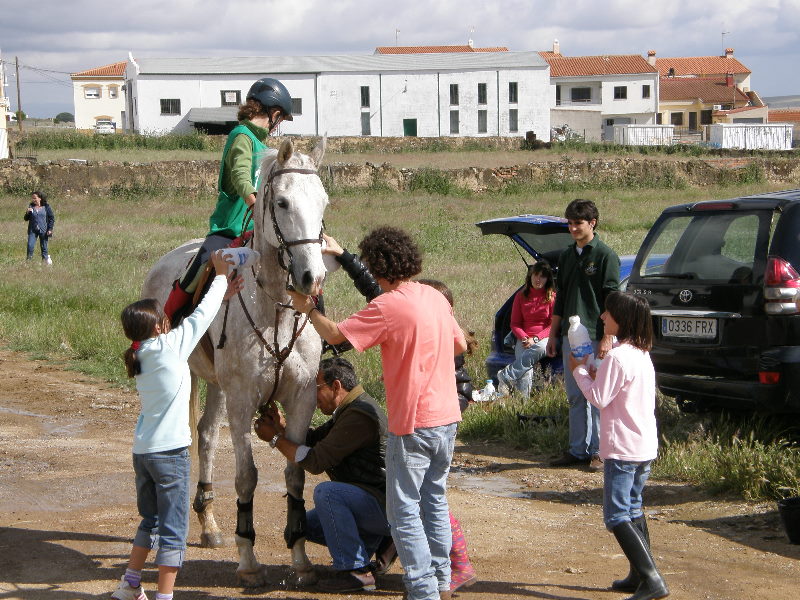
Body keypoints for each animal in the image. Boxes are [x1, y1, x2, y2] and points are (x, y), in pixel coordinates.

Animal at [143, 137, 328, 584]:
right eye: (281, 202)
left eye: (323, 201)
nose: (312, 278)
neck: (274, 308)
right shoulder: (243, 401)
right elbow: (246, 477)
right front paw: (248, 561)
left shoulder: (301, 398)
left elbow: (295, 473)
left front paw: (300, 559)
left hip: (217, 386)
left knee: (208, 435)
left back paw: (209, 524)